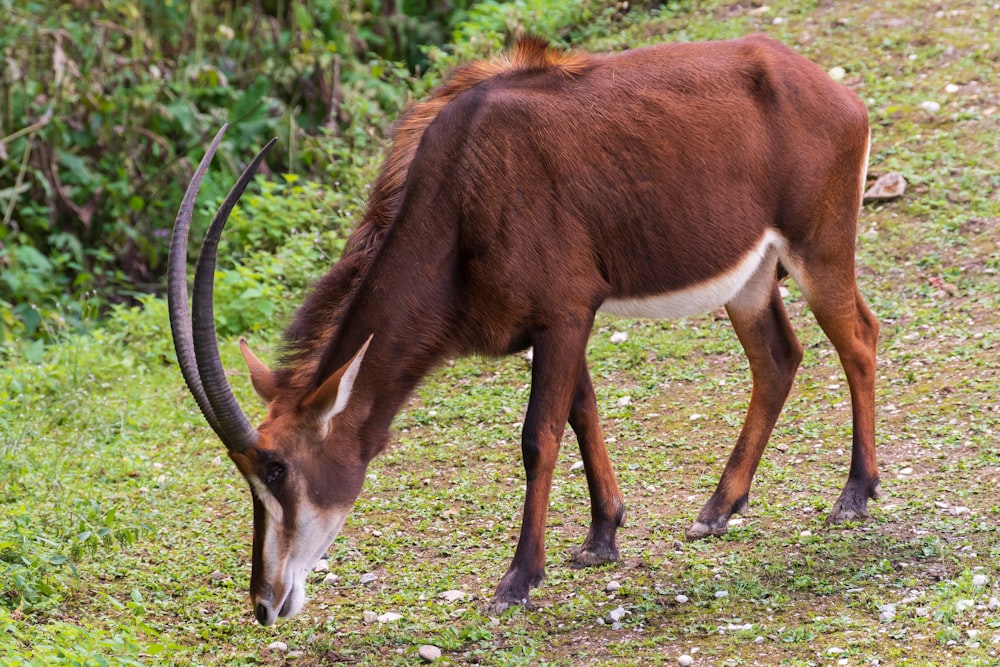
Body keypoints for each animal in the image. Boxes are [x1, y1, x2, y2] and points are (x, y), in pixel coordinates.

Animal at [170, 34, 876, 624]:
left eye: (278, 471)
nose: (264, 604)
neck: (460, 190)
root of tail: (832, 90)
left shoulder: (565, 313)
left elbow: (539, 436)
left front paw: (517, 580)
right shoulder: (556, 322)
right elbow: (582, 412)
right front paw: (600, 537)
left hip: (818, 248)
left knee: (859, 339)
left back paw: (855, 494)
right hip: (750, 279)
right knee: (777, 358)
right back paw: (719, 508)